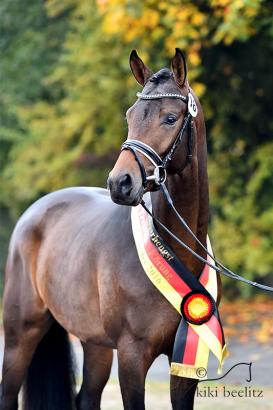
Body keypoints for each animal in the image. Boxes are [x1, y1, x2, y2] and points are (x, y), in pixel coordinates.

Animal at [0, 48, 215, 410]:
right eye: (130, 116)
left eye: (171, 118)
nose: (120, 182)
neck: (174, 249)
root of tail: (36, 210)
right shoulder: (131, 356)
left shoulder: (184, 364)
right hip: (21, 335)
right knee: (8, 392)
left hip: (95, 343)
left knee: (86, 398)